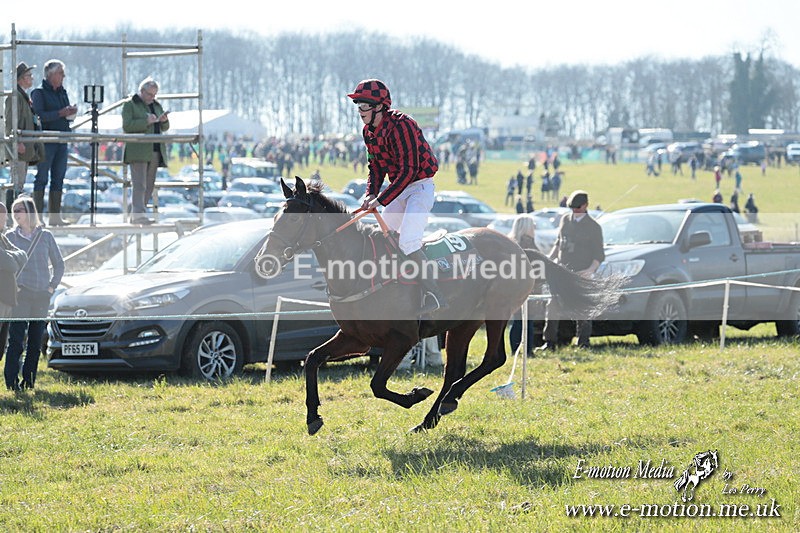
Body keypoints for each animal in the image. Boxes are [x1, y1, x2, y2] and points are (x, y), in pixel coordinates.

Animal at [256, 177, 617, 435]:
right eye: (275, 217)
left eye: (291, 221)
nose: (264, 262)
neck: (360, 269)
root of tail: (520, 248)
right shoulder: (357, 338)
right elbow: (312, 359)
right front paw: (312, 417)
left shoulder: (402, 339)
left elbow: (377, 385)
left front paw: (415, 394)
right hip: (463, 324)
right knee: (454, 370)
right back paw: (432, 415)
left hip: (497, 312)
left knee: (492, 359)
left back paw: (449, 400)